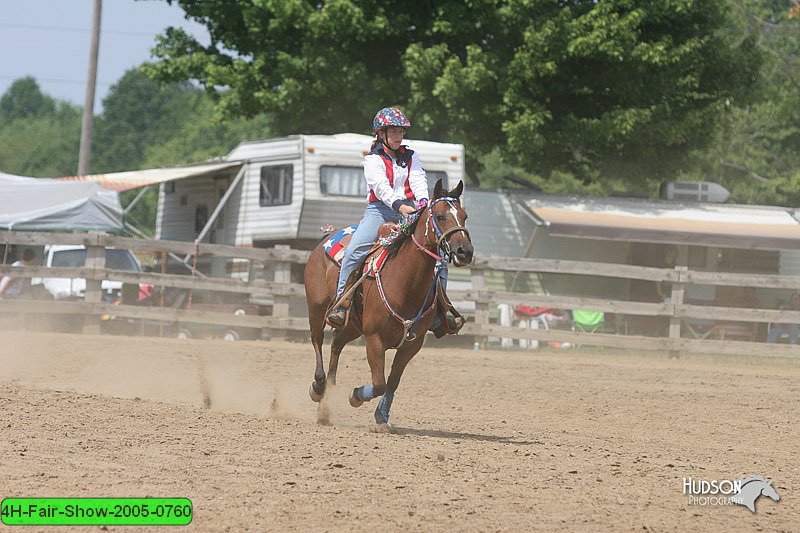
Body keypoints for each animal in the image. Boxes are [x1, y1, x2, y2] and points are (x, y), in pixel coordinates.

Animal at [304, 180, 472, 428]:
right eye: (440, 216)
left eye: (464, 216)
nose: (465, 252)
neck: (405, 282)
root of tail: (324, 240)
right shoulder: (375, 339)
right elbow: (379, 382)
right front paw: (355, 396)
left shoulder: (413, 344)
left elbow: (392, 381)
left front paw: (381, 416)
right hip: (316, 309)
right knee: (317, 340)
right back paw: (318, 387)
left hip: (353, 325)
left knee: (336, 344)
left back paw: (327, 400)